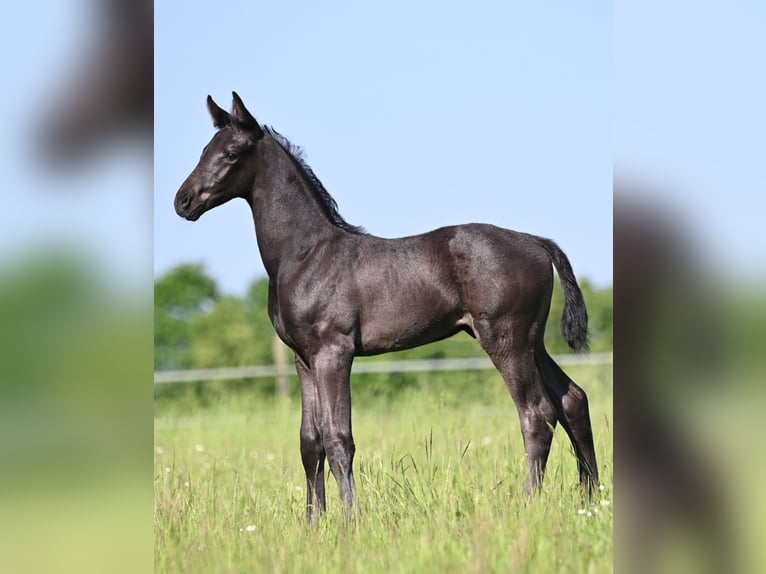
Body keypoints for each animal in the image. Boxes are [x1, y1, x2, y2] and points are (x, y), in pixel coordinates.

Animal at [174, 92, 599, 522]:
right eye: (204, 150)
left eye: (231, 153)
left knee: (536, 414)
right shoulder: (303, 359)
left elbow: (338, 438)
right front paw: (312, 523)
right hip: (532, 341)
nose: (183, 201)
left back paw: (529, 505)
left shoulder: (334, 352)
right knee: (572, 400)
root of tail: (536, 241)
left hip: (505, 339)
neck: (306, 255)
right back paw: (592, 499)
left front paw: (351, 520)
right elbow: (309, 442)